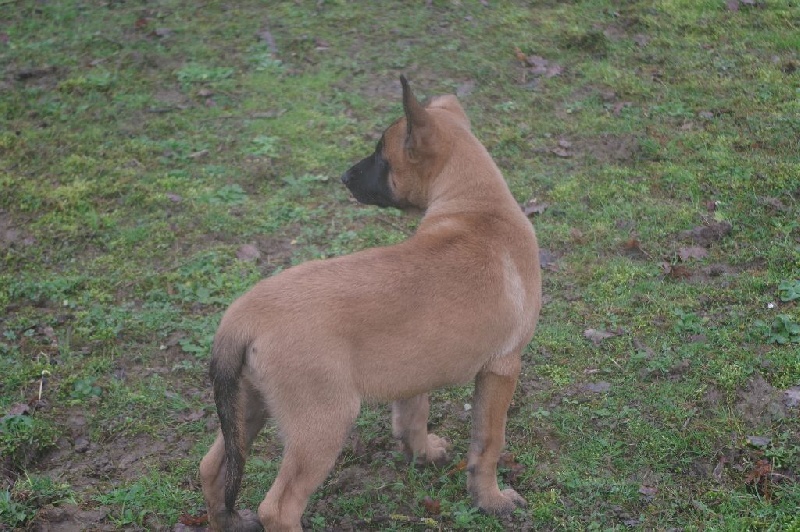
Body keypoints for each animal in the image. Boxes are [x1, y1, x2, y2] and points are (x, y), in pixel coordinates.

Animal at [198, 76, 544, 532]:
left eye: (382, 154)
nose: (344, 176)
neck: (479, 208)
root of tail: (243, 315)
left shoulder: (416, 363)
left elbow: (414, 411)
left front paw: (423, 452)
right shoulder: (502, 367)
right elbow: (488, 442)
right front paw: (492, 500)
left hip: (248, 404)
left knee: (213, 468)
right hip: (324, 421)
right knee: (278, 506)